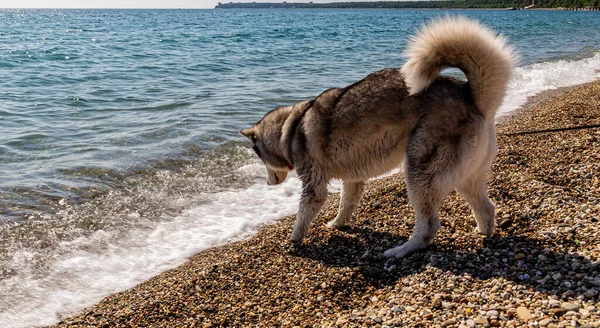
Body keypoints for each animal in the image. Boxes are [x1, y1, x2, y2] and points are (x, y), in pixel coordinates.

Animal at [239, 17, 516, 258]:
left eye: (258, 155)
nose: (267, 183)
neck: (290, 127)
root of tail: (471, 97)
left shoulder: (314, 185)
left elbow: (303, 214)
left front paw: (294, 239)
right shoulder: (353, 180)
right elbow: (346, 204)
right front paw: (337, 224)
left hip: (420, 172)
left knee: (429, 225)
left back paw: (404, 249)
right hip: (467, 176)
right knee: (486, 208)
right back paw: (483, 232)